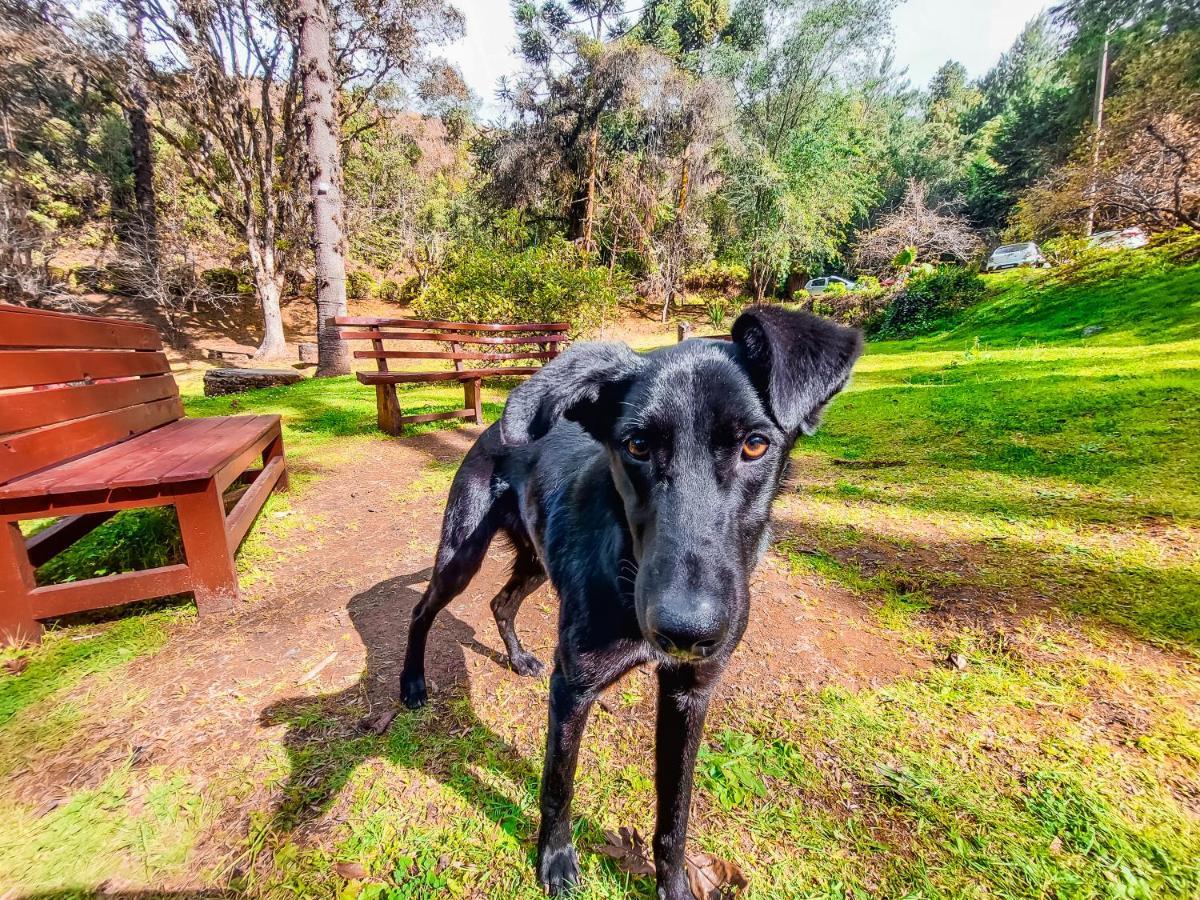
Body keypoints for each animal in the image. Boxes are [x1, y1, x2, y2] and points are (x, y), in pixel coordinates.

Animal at [400, 307, 864, 897]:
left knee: (502, 603)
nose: (685, 631)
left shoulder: (690, 693)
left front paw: (674, 885)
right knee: (423, 610)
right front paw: (556, 862)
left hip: (536, 562)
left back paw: (518, 657)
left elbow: (675, 813)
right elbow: (558, 786)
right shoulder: (573, 688)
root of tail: (489, 430)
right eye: (637, 446)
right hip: (461, 555)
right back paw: (412, 684)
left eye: (756, 445)